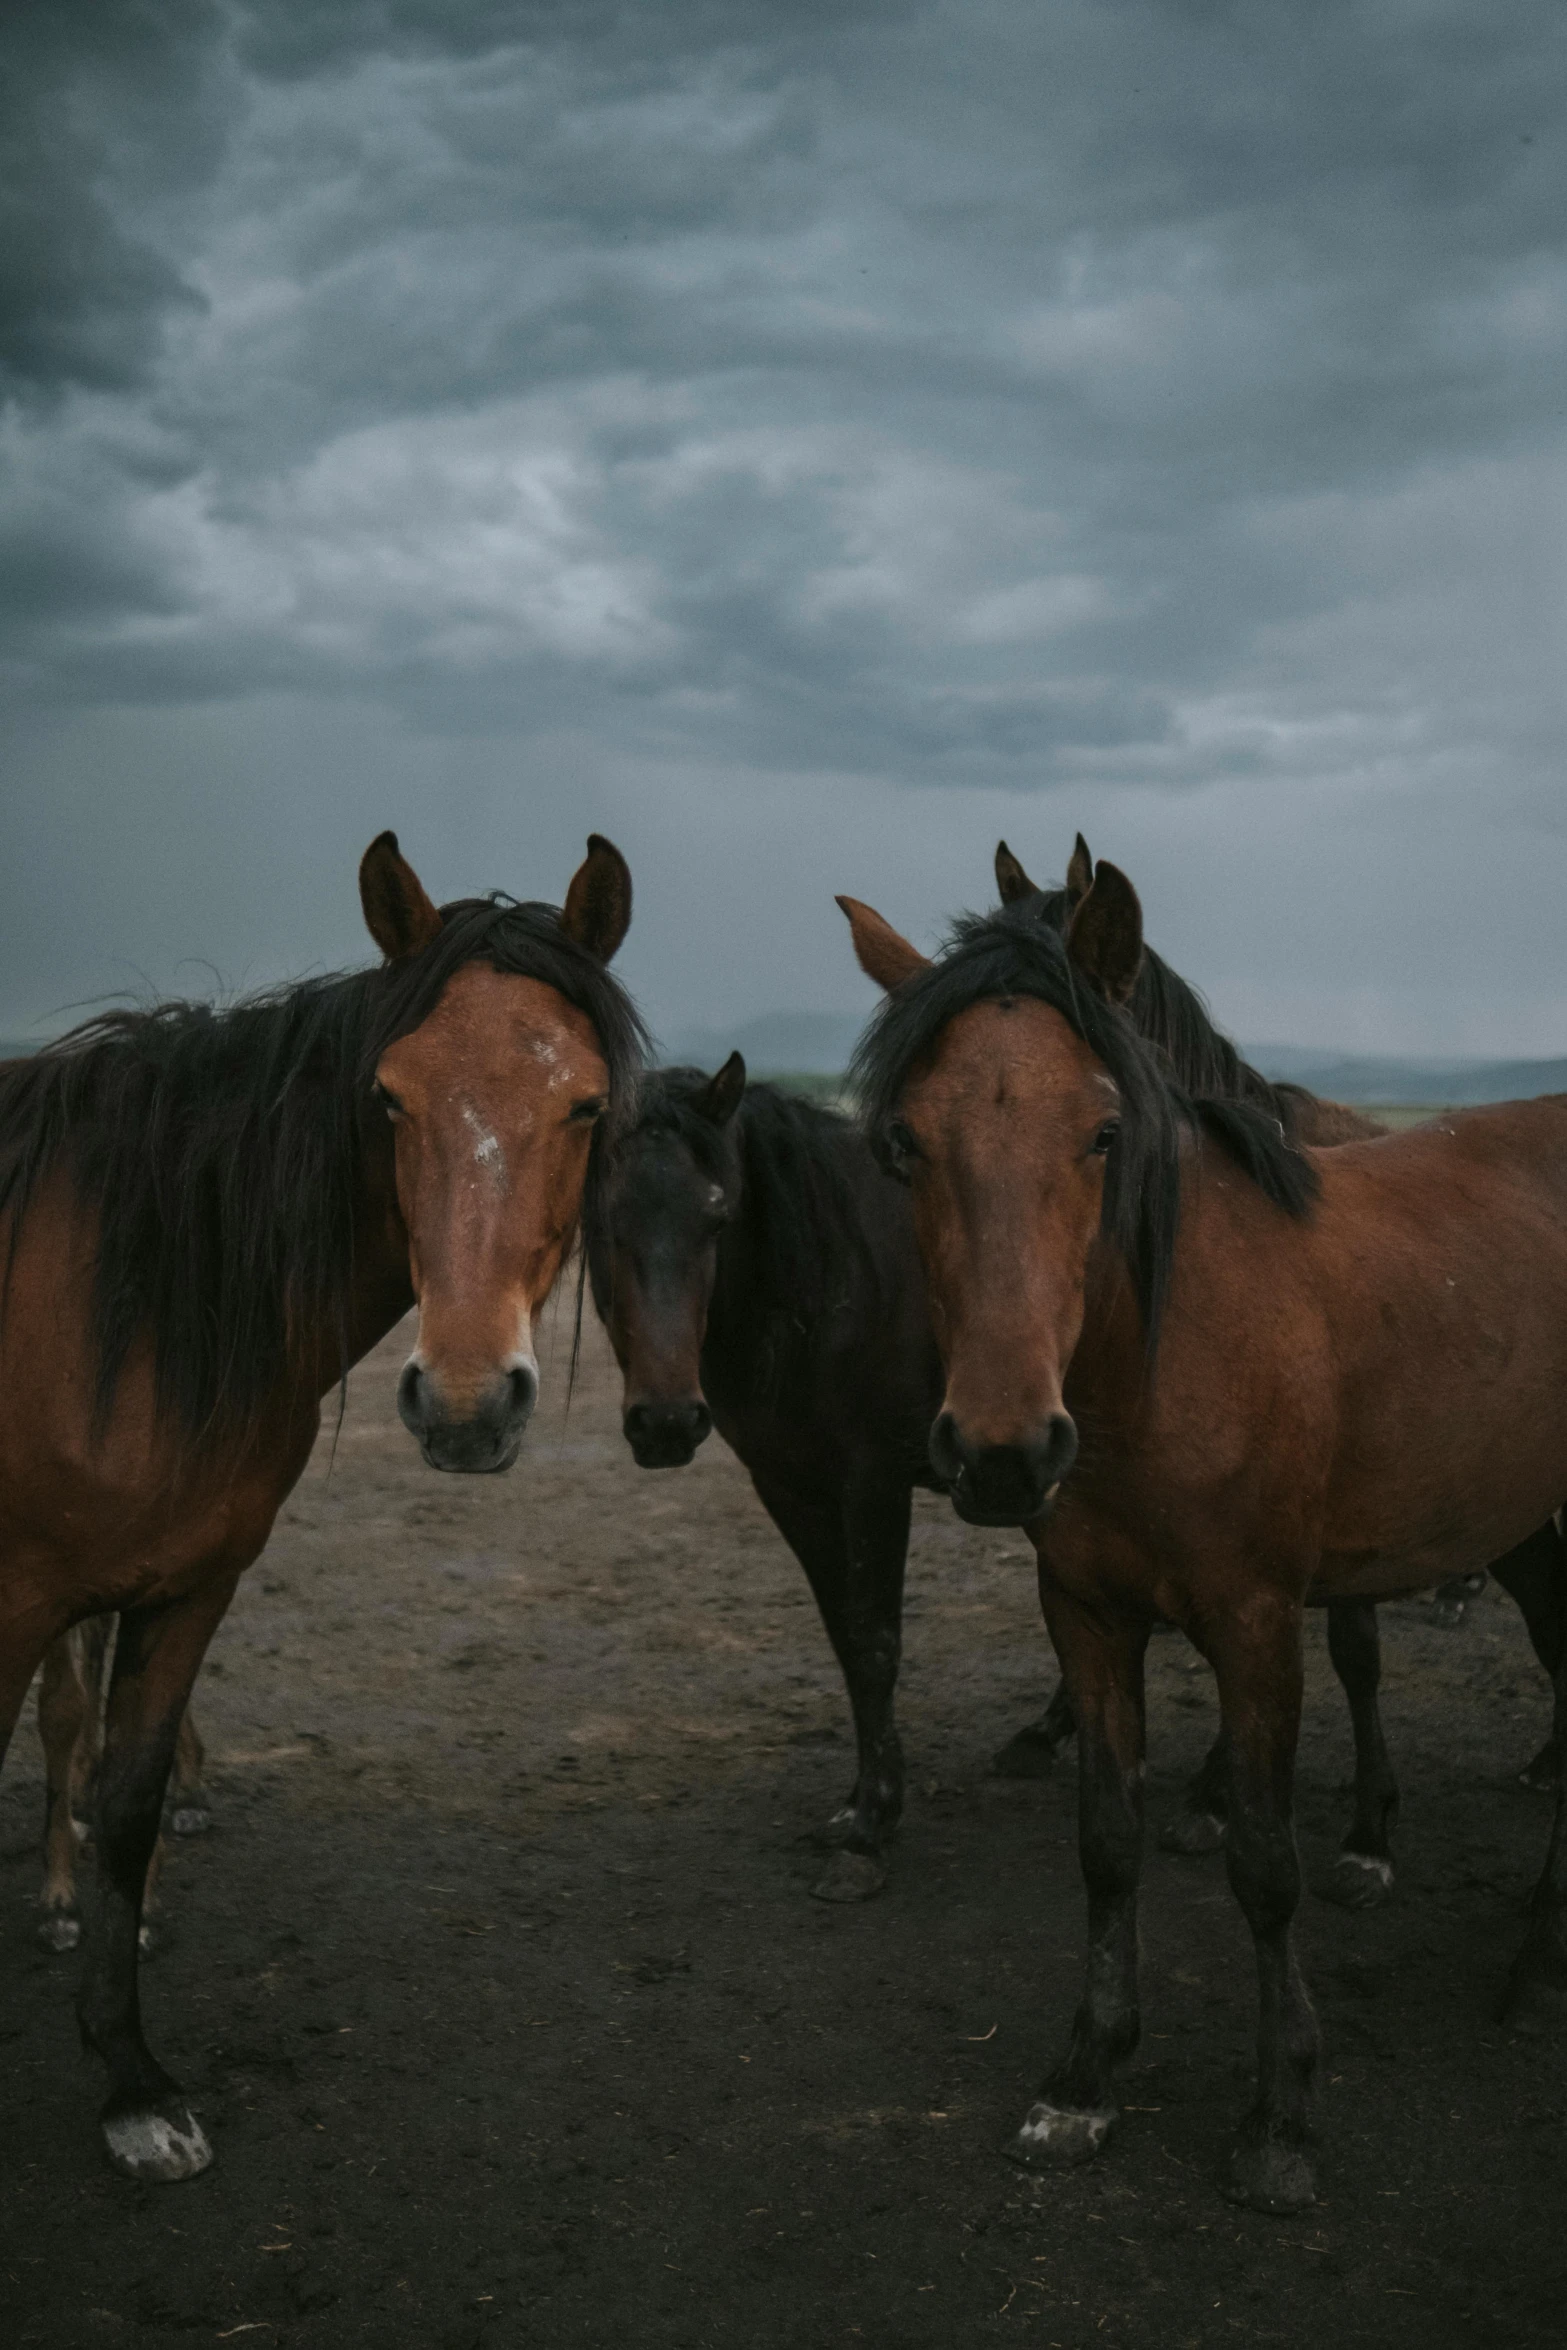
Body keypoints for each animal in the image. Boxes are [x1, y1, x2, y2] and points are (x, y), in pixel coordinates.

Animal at [0, 831, 643, 2180]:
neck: (129, 1299)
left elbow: (127, 1805)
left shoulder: (187, 1588)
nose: (464, 1402)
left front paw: (131, 2081)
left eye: (584, 1103)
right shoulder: (16, 1604)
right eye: (388, 1098)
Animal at [845, 869, 1567, 2218]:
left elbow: (1264, 1865)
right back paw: (1541, 1960)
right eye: (903, 1143)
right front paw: (1085, 2073)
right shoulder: (1085, 1613)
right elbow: (1106, 1842)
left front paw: (1281, 2111)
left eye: (1101, 1130)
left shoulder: (1257, 1619)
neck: (1160, 1355)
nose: (1004, 1447)